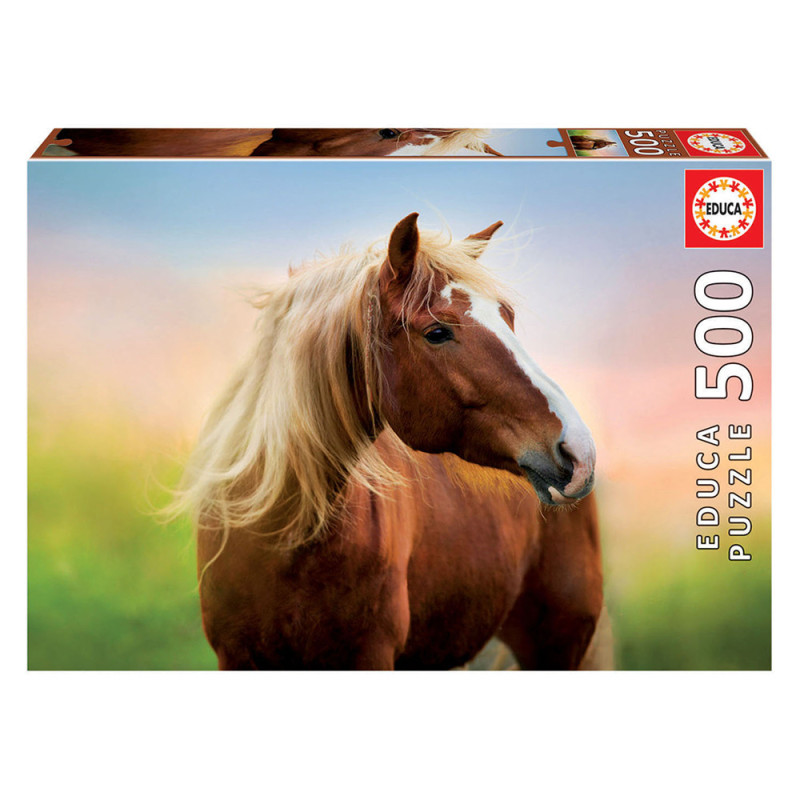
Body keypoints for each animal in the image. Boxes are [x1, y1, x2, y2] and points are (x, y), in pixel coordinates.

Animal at [177, 213, 604, 670]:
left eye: (506, 316)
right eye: (436, 332)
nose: (578, 450)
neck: (284, 537)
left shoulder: (370, 654)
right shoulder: (235, 655)